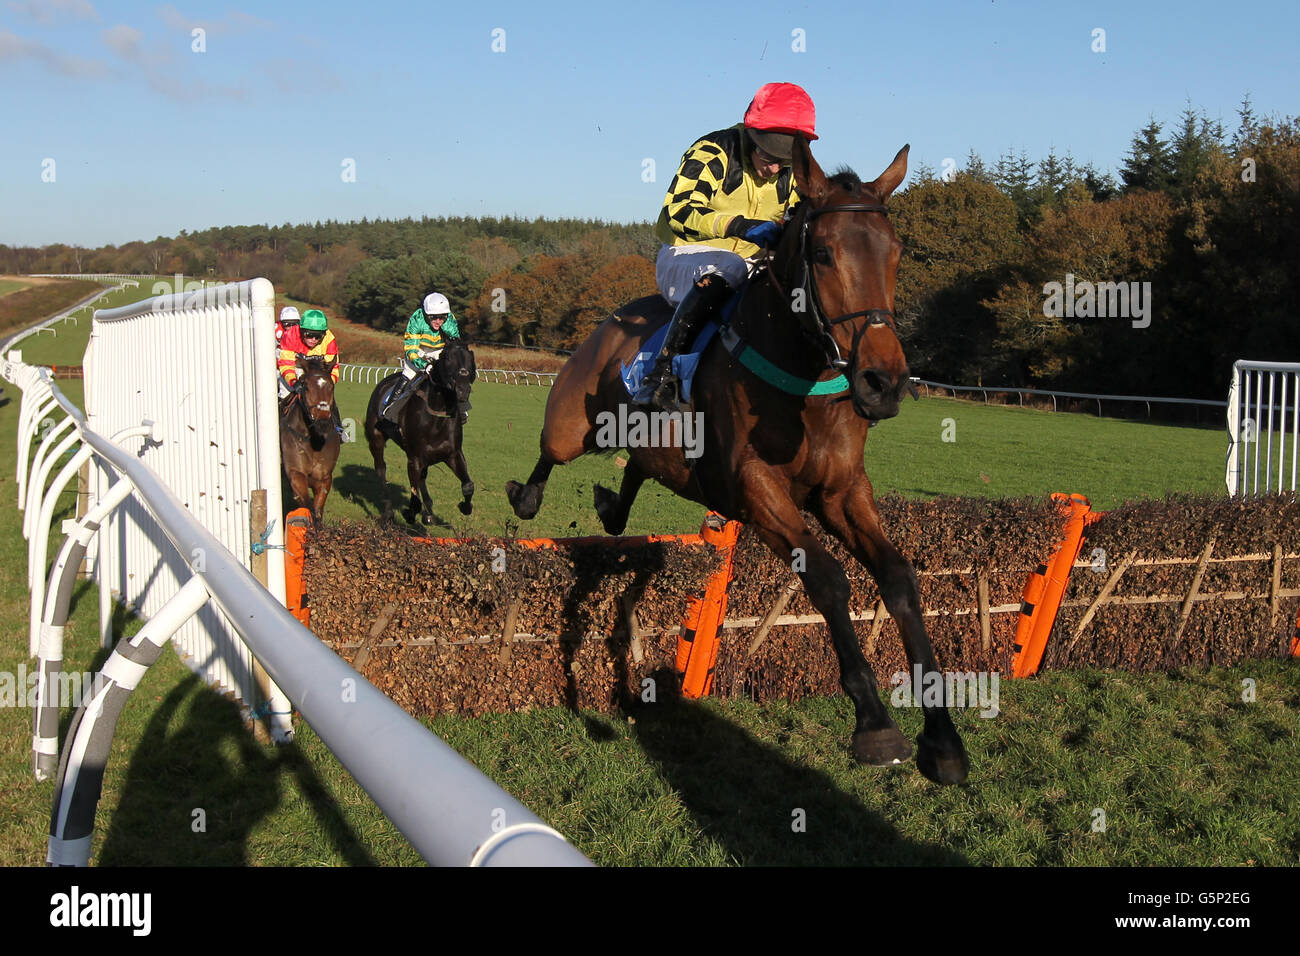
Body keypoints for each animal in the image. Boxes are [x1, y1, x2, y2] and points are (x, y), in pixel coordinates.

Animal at [279, 356, 343, 522]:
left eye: (331, 386)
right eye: (306, 386)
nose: (322, 423)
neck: (313, 440)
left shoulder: (324, 478)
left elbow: (317, 511)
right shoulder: (296, 475)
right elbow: (308, 509)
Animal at [361, 343, 478, 522]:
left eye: (470, 359)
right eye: (447, 358)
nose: (463, 390)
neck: (436, 417)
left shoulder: (452, 454)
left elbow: (468, 485)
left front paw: (465, 507)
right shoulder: (414, 458)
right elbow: (414, 499)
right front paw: (409, 513)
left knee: (422, 476)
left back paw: (428, 510)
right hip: (376, 439)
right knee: (381, 469)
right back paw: (388, 511)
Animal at [501, 140, 972, 785]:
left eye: (895, 253)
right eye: (823, 254)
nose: (884, 383)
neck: (803, 378)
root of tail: (615, 318)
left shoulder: (843, 492)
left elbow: (898, 577)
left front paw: (943, 738)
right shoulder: (758, 492)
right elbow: (827, 578)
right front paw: (875, 724)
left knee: (638, 466)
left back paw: (612, 509)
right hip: (573, 424)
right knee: (550, 454)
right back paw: (526, 496)